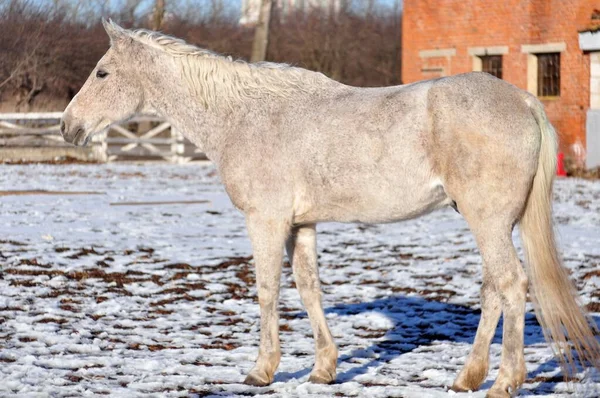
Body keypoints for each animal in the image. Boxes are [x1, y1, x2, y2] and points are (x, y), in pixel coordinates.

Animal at [62, 20, 600, 396]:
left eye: (102, 72)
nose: (68, 126)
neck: (246, 116)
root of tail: (525, 101)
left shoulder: (266, 221)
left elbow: (266, 291)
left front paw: (262, 371)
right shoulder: (302, 225)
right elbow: (309, 289)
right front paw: (323, 369)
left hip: (487, 221)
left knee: (511, 285)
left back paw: (505, 382)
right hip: (490, 223)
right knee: (494, 291)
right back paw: (468, 378)